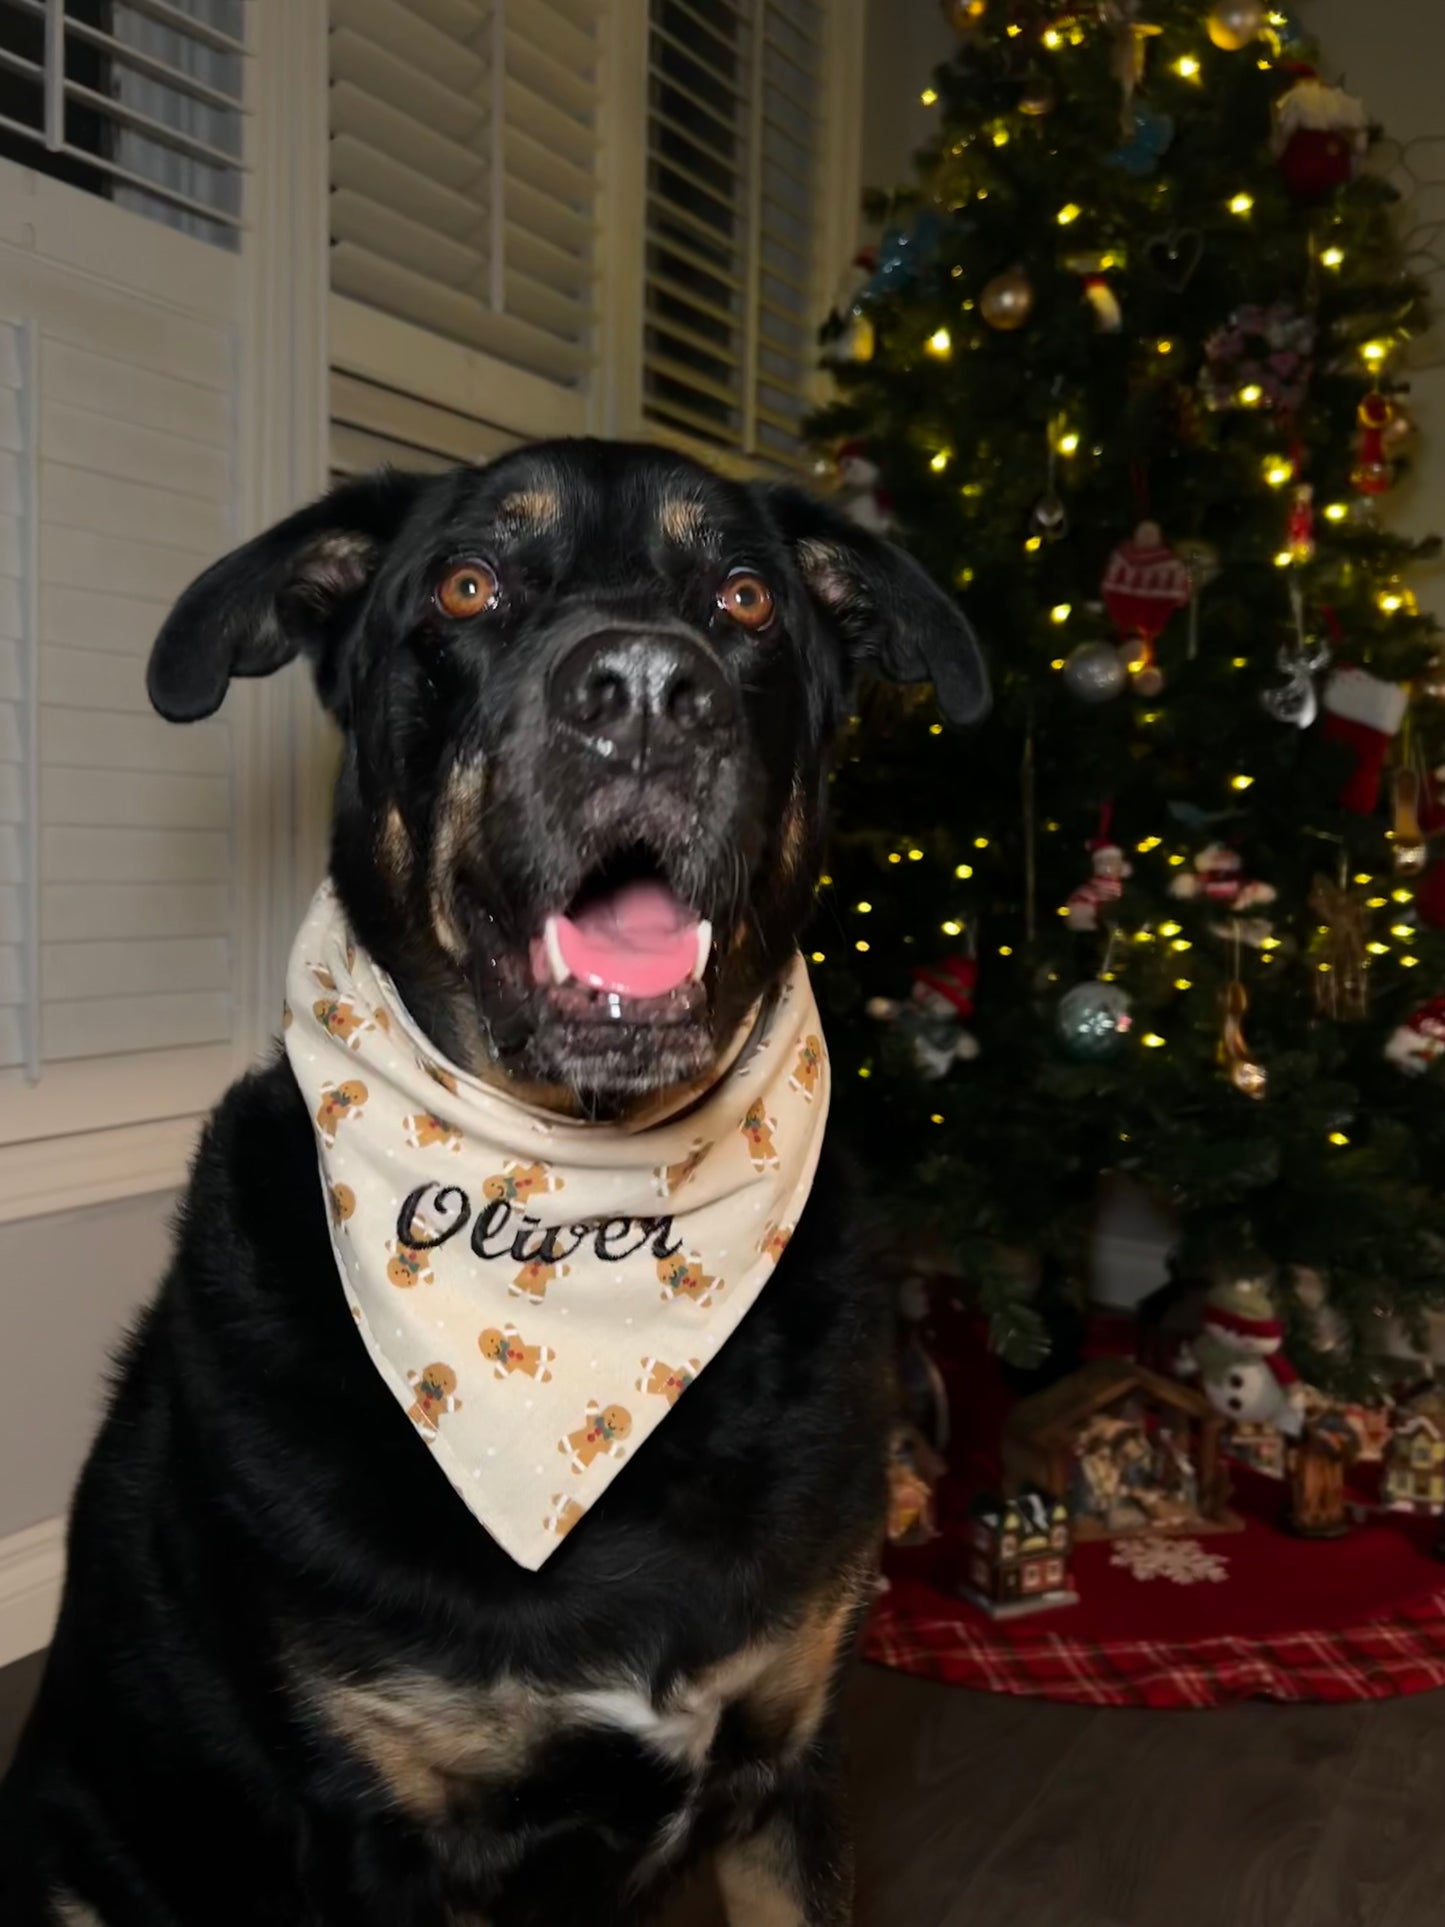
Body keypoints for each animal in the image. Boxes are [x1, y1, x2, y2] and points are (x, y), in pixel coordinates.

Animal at [0, 441, 986, 1927]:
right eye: (467, 585)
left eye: (745, 596)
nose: (646, 690)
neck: (582, 1207)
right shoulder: (385, 1834)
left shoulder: (786, 1760)